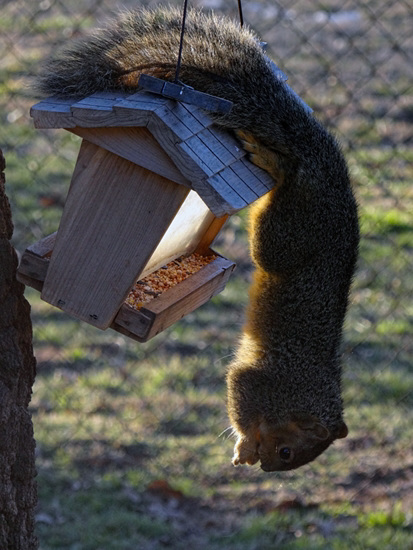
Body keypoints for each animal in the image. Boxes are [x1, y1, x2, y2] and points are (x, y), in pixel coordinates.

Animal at [33, 4, 358, 472]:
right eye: (286, 451)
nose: (267, 467)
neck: (302, 391)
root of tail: (325, 162)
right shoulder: (264, 380)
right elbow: (240, 390)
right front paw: (244, 446)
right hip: (295, 229)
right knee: (275, 231)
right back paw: (272, 161)